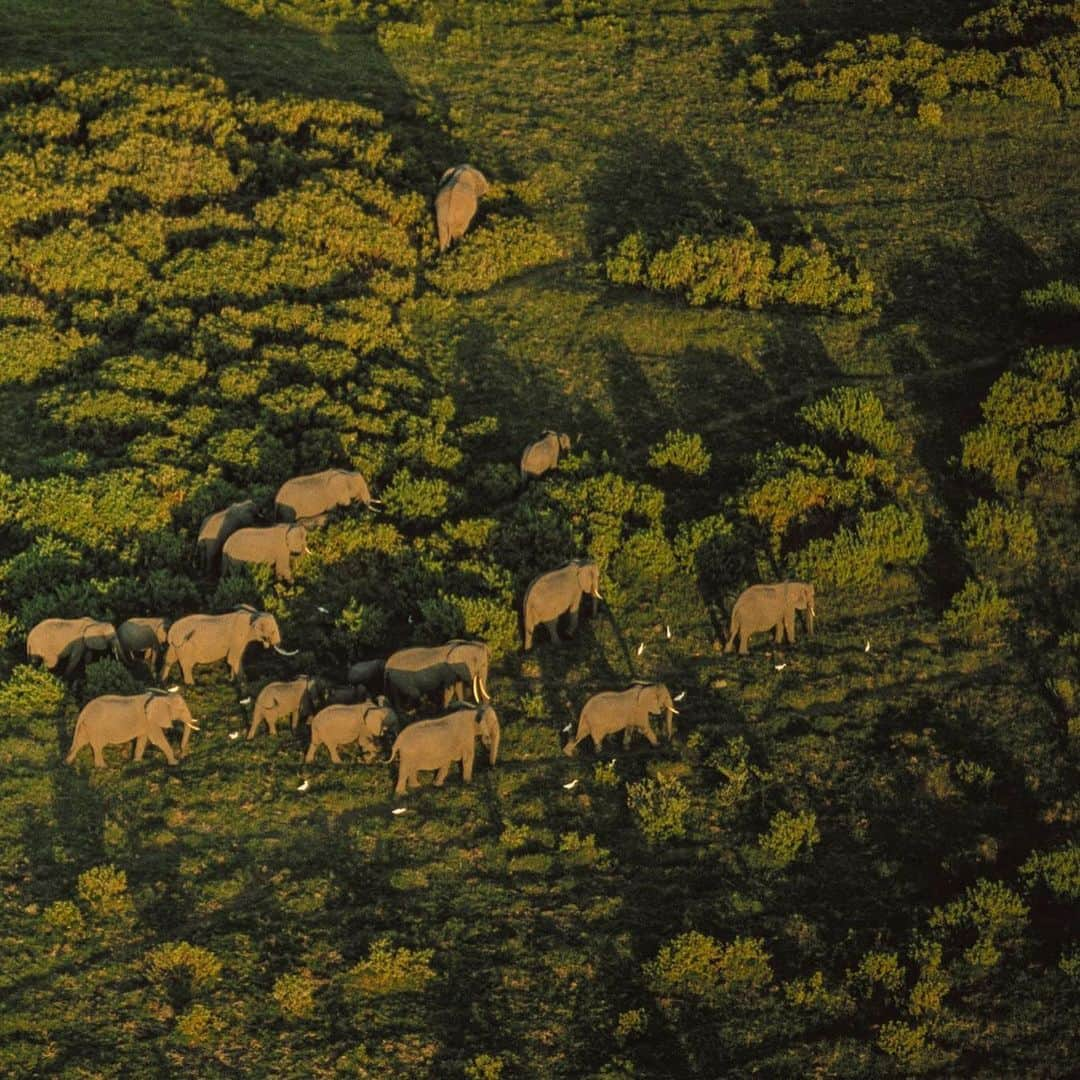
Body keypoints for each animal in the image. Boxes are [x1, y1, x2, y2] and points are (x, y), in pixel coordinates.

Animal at [159, 609, 295, 682]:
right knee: (187, 665)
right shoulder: (238, 637)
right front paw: (238, 681)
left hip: (176, 646)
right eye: (273, 631)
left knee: (168, 660)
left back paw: (162, 681)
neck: (255, 615)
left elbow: (237, 658)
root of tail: (171, 631)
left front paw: (237, 679)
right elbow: (233, 659)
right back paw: (191, 685)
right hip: (186, 647)